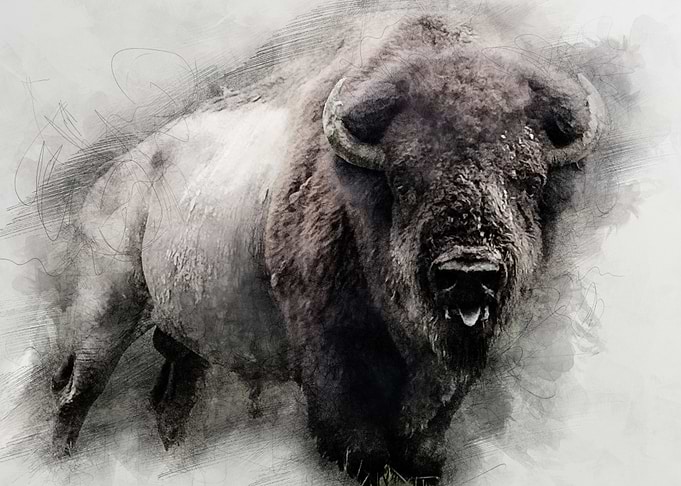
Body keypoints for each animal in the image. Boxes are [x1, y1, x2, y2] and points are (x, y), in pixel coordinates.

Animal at [48, 6, 617, 485]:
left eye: (529, 180)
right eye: (403, 179)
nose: (469, 273)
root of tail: (115, 176)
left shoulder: (447, 379)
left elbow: (423, 445)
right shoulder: (333, 361)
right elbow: (359, 447)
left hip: (184, 338)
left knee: (172, 401)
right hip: (105, 315)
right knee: (77, 397)